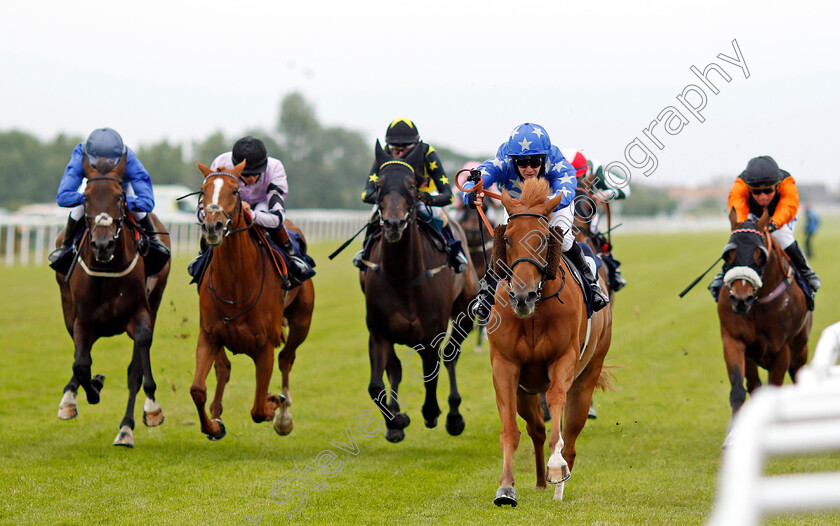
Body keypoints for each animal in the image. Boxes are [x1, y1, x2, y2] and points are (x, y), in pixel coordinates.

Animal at [54, 155, 171, 448]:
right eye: (85, 198)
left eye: (120, 197)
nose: (103, 245)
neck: (106, 269)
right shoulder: (82, 320)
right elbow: (81, 365)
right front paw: (91, 389)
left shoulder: (141, 315)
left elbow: (137, 368)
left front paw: (151, 410)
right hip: (68, 309)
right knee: (81, 357)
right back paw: (71, 397)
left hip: (155, 300)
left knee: (134, 369)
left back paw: (126, 428)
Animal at [190, 163, 316, 444]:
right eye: (204, 190)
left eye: (235, 191)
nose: (212, 226)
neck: (236, 284)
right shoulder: (209, 334)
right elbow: (198, 389)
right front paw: (213, 426)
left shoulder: (265, 346)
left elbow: (258, 408)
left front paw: (274, 404)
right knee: (224, 369)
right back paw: (218, 415)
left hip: (302, 321)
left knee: (286, 359)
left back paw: (284, 416)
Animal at [360, 142, 480, 444]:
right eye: (379, 185)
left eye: (412, 186)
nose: (393, 224)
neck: (405, 278)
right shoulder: (378, 332)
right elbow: (375, 385)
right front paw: (396, 420)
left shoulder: (430, 334)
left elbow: (431, 373)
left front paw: (432, 411)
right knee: (395, 368)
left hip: (466, 311)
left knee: (450, 354)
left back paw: (454, 415)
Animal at [482, 180, 612, 508]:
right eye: (508, 239)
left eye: (541, 240)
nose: (522, 296)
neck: (534, 316)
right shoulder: (505, 366)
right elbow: (510, 431)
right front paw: (506, 488)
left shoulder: (564, 358)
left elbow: (556, 403)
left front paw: (556, 468)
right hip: (525, 392)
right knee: (537, 430)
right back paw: (541, 481)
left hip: (587, 377)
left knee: (571, 436)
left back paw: (557, 485)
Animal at [720, 209, 812, 446]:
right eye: (728, 255)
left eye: (760, 254)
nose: (740, 299)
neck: (758, 301)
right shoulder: (733, 340)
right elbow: (738, 389)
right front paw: (733, 436)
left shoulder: (782, 349)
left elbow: (776, 388)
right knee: (754, 384)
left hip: (800, 346)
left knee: (796, 374)